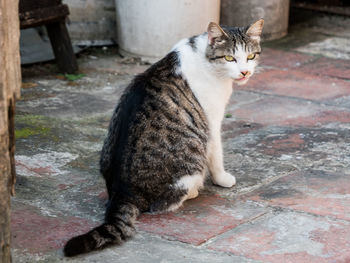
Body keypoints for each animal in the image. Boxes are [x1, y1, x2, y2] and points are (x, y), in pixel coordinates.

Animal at [64, 19, 264, 258]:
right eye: (229, 58)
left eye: (250, 56)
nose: (244, 72)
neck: (204, 56)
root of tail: (123, 191)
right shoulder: (211, 122)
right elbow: (216, 155)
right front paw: (223, 179)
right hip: (191, 158)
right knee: (164, 204)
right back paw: (193, 191)